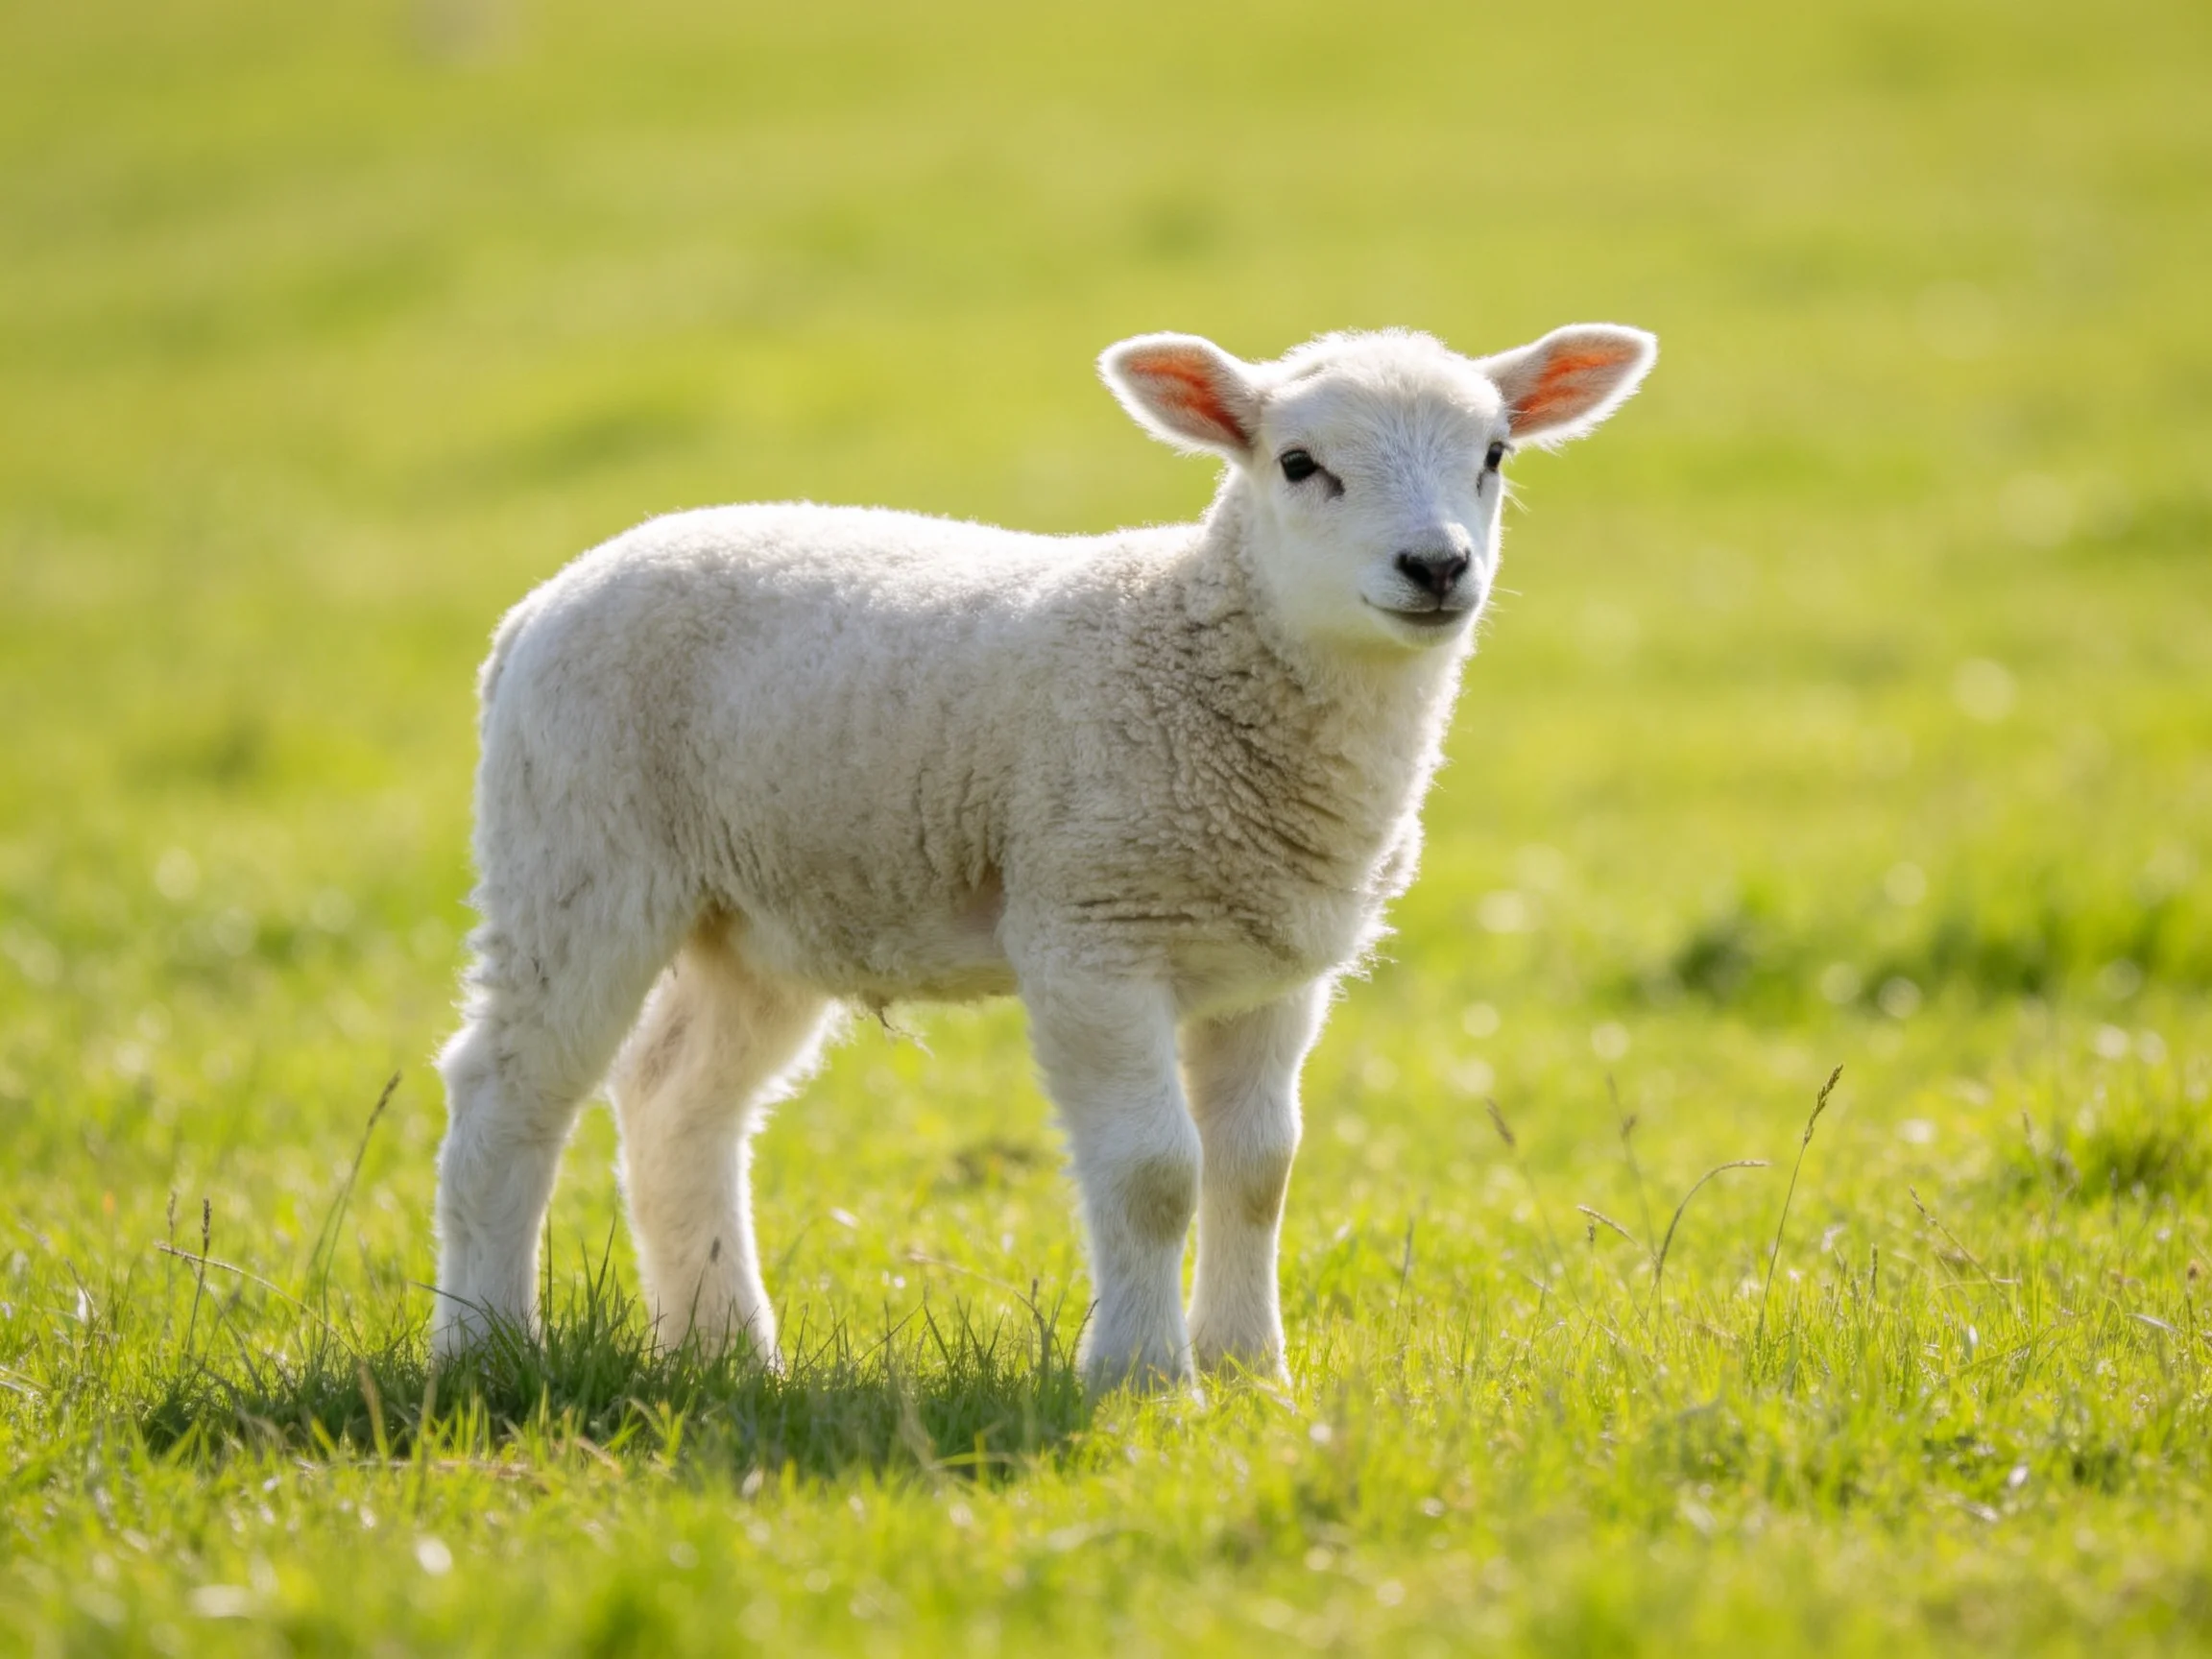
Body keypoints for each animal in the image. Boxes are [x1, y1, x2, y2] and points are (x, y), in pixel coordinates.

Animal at [431, 321, 1656, 1390]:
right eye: (1300, 464)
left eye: (1493, 456)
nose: (1437, 566)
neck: (1202, 648)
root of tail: (540, 606)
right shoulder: (1091, 933)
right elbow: (1157, 1173)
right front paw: (1143, 1378)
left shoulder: (1273, 968)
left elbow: (1258, 1170)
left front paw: (1250, 1371)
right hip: (575, 851)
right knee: (507, 1093)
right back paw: (487, 1349)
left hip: (761, 914)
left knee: (676, 1100)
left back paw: (725, 1350)